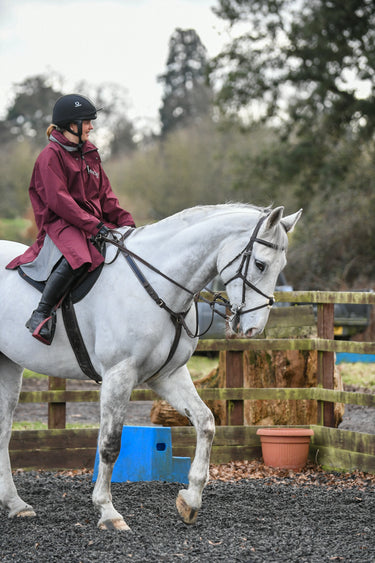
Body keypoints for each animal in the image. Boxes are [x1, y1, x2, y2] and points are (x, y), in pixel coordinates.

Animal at [0, 205, 302, 532]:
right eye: (260, 264)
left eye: (282, 265)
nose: (253, 329)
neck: (158, 286)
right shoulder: (119, 374)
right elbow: (110, 443)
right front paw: (108, 511)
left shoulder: (168, 376)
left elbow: (206, 422)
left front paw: (190, 500)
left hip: (9, 366)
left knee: (3, 430)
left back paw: (16, 504)